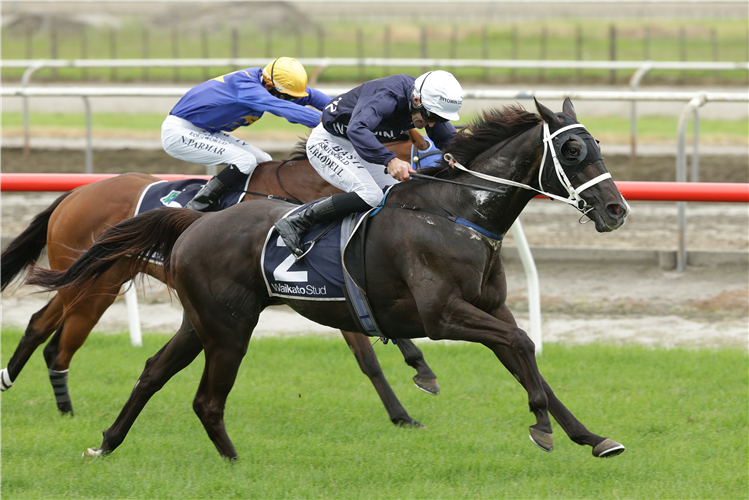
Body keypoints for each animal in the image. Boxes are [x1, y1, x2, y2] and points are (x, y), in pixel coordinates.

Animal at [0, 130, 438, 426]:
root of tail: (73, 195)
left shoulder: (337, 284)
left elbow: (375, 342)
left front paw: (414, 383)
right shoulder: (325, 282)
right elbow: (369, 356)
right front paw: (405, 407)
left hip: (97, 280)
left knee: (45, 330)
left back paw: (50, 400)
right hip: (94, 284)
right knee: (49, 332)